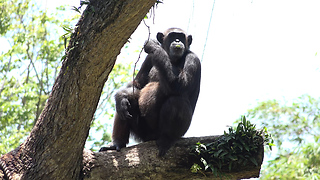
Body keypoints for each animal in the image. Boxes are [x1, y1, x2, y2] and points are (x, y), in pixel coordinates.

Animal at [99, 27, 201, 156]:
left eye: (181, 36)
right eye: (173, 36)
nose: (178, 41)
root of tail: (150, 138)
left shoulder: (193, 59)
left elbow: (181, 85)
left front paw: (154, 46)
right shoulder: (148, 59)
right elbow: (137, 84)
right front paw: (121, 95)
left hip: (177, 132)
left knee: (176, 101)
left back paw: (166, 139)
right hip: (142, 132)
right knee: (126, 104)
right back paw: (117, 142)